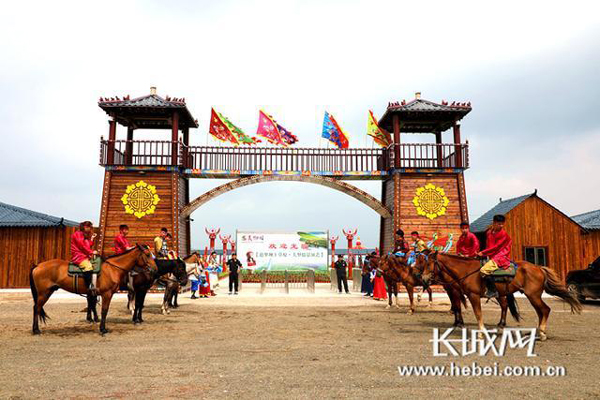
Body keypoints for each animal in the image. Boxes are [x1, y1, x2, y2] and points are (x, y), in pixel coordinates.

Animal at [422, 252, 580, 340]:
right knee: (541, 312)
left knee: (545, 310)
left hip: (533, 296)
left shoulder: (473, 296)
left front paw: (481, 333)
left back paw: (541, 333)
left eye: (429, 264)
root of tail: (538, 268)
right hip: (532, 297)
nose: (423, 279)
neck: (467, 270)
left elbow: (478, 314)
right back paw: (538, 333)